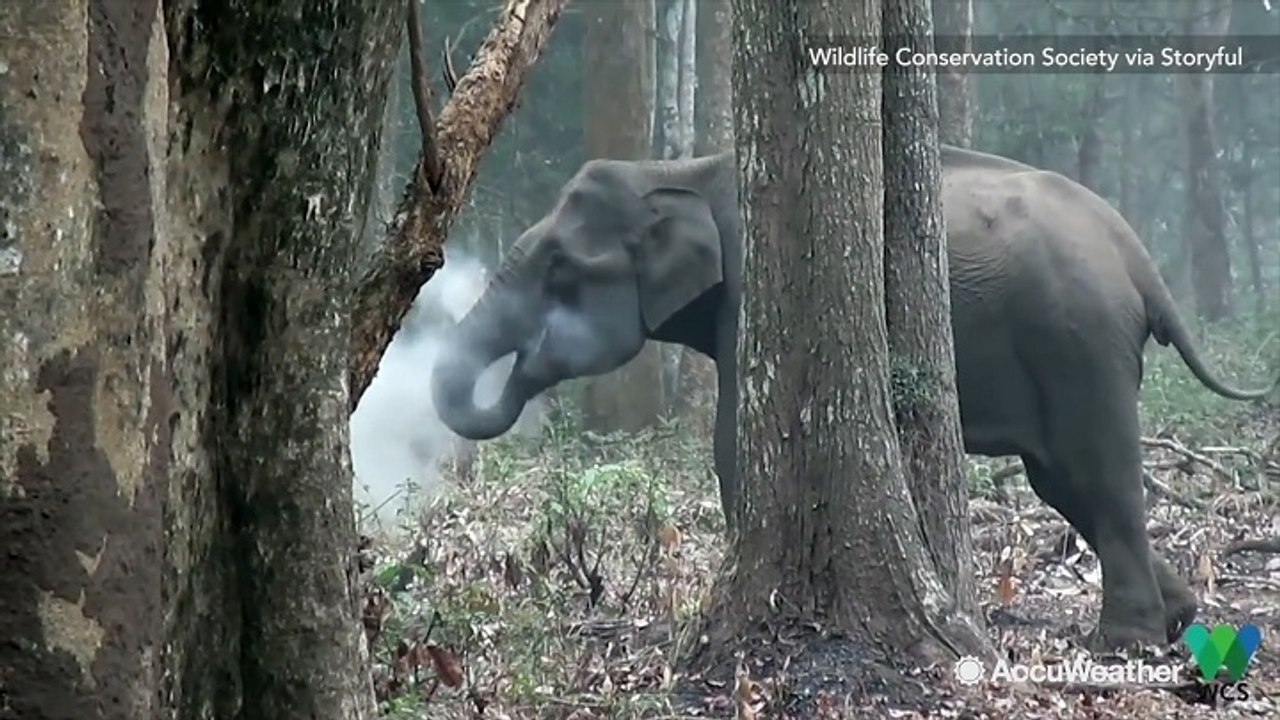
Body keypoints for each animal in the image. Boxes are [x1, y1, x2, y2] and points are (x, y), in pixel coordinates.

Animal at [430, 146, 1278, 651]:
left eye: (560, 272)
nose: (529, 362)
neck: (679, 168)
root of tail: (1137, 255)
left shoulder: (755, 292)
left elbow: (734, 441)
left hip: (1078, 341)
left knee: (1097, 472)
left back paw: (1124, 643)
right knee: (1063, 480)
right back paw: (1179, 618)